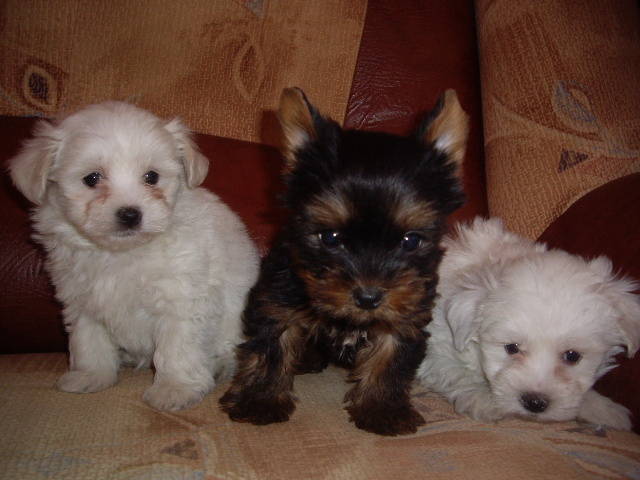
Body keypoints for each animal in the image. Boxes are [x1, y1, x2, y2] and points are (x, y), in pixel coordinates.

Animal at [8, 103, 258, 410]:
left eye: (151, 177)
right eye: (92, 178)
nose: (130, 214)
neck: (121, 253)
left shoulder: (182, 297)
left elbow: (178, 346)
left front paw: (175, 388)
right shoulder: (81, 300)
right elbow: (88, 340)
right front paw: (91, 375)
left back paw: (221, 366)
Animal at [222, 87, 468, 436]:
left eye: (411, 241)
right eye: (330, 237)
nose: (368, 297)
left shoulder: (406, 313)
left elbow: (390, 359)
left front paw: (381, 409)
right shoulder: (278, 295)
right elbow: (272, 346)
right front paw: (260, 400)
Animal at [418, 218, 640, 432]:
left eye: (572, 356)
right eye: (511, 348)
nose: (535, 402)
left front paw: (603, 409)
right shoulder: (436, 348)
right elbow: (455, 371)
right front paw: (484, 398)